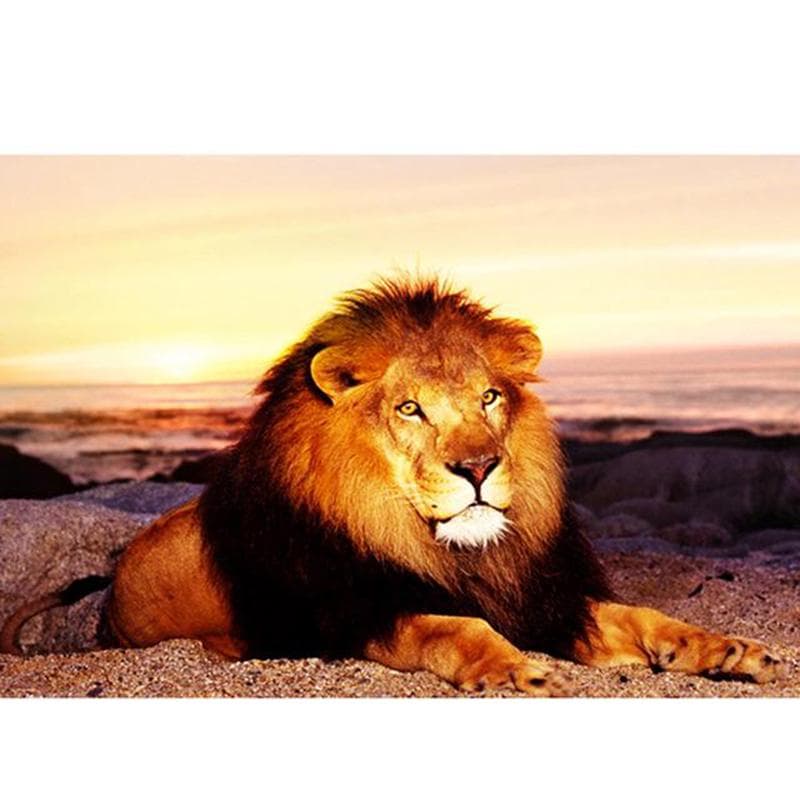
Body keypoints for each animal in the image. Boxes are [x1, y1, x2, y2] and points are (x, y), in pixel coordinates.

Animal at [0, 277, 786, 694]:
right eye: (410, 409)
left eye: (489, 398)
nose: (479, 468)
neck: (454, 551)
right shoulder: (358, 613)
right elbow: (453, 626)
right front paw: (521, 672)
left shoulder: (545, 597)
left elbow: (648, 617)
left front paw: (729, 650)